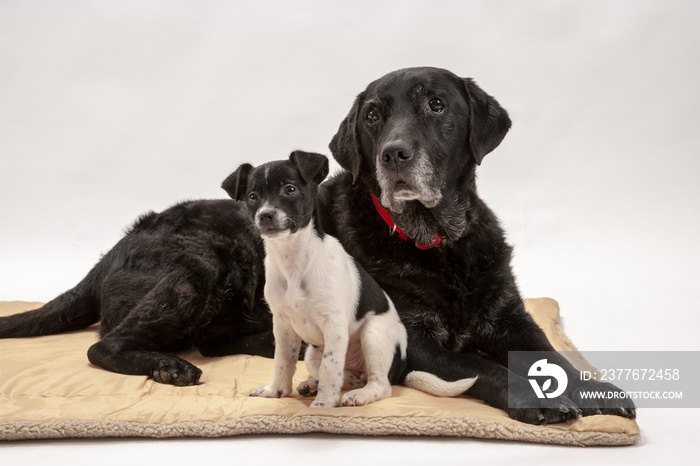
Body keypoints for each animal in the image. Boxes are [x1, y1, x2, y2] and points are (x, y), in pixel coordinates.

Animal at [224, 151, 476, 406]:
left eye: (290, 189)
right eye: (253, 197)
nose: (266, 215)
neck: (293, 261)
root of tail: (401, 369)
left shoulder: (333, 326)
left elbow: (330, 368)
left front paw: (324, 404)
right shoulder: (283, 328)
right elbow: (283, 362)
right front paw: (276, 390)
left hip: (373, 335)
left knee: (379, 384)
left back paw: (358, 395)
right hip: (312, 352)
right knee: (349, 376)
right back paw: (315, 385)